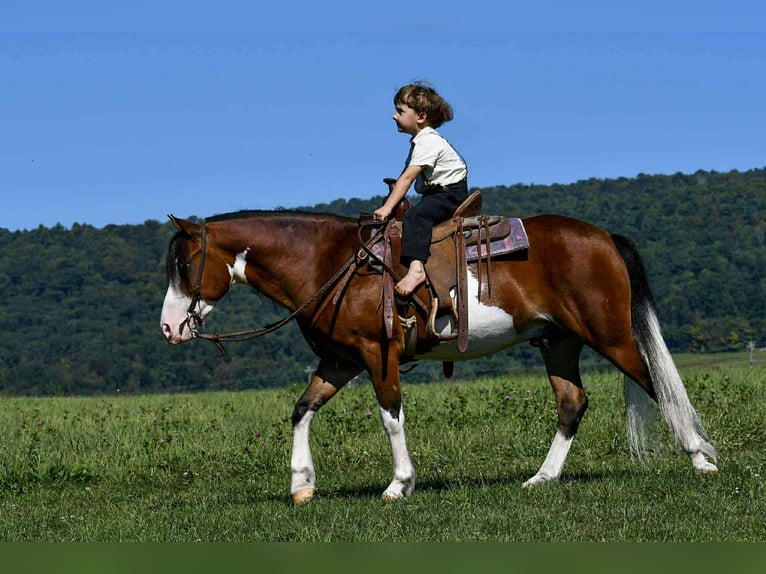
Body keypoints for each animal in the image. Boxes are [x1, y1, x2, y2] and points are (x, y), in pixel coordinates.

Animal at [160, 209, 718, 505]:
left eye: (185, 265)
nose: (168, 328)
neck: (330, 264)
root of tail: (603, 236)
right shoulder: (340, 360)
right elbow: (302, 410)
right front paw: (302, 485)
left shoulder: (376, 353)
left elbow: (391, 416)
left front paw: (399, 484)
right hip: (558, 343)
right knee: (572, 404)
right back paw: (542, 477)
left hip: (611, 337)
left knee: (657, 386)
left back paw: (701, 460)